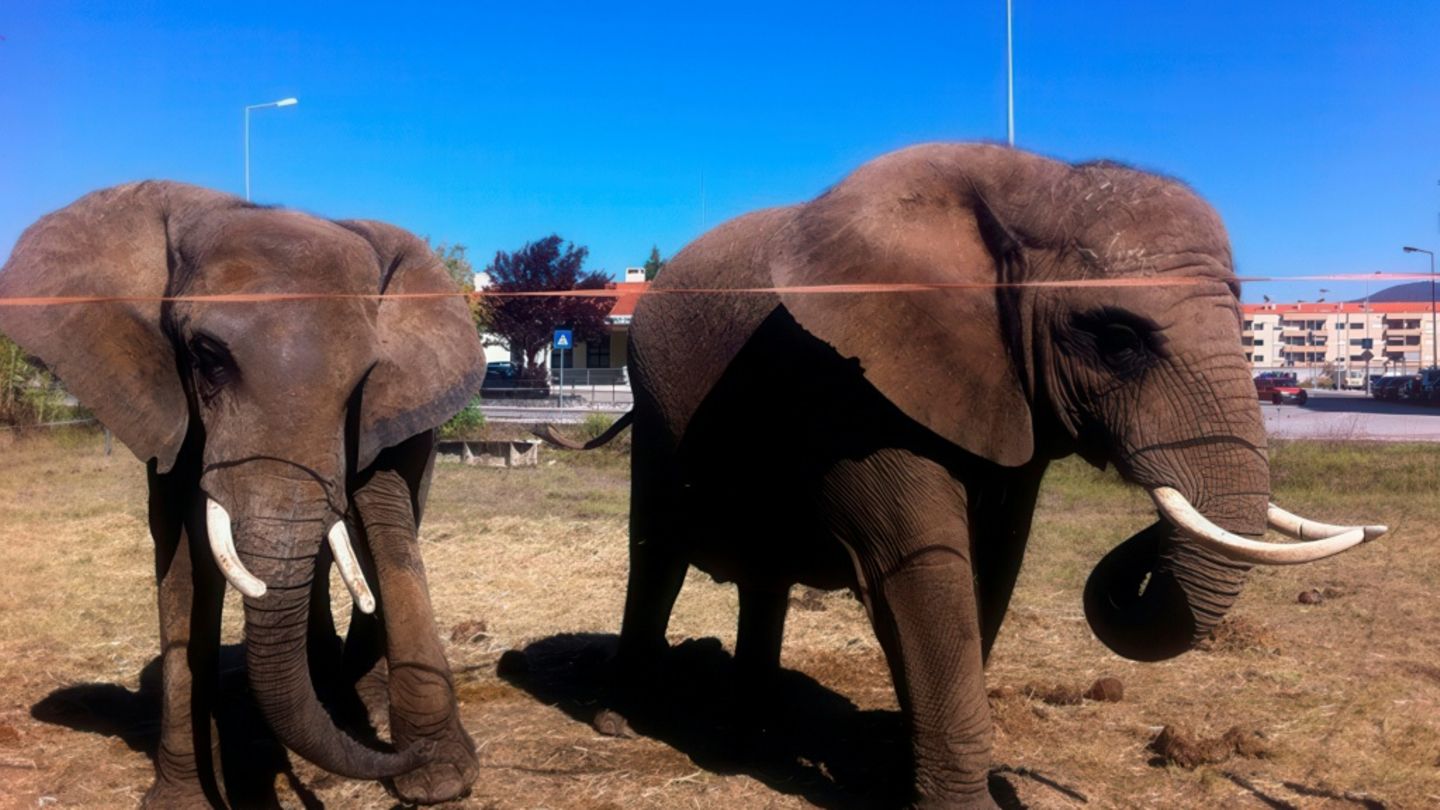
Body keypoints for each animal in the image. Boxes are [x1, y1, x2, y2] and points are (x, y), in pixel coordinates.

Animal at [0, 182, 485, 806]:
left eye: (362, 378)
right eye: (207, 359)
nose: (406, 755)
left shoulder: (384, 406)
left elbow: (385, 517)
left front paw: (439, 779)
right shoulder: (170, 408)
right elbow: (182, 555)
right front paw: (183, 802)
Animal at [552, 144, 1388, 808]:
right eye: (1118, 339)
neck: (1037, 185)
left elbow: (993, 564)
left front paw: (896, 768)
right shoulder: (855, 387)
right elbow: (923, 568)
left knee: (763, 577)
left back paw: (750, 737)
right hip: (656, 401)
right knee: (655, 552)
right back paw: (622, 722)